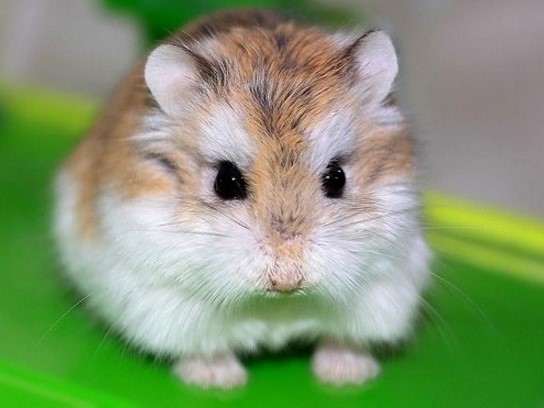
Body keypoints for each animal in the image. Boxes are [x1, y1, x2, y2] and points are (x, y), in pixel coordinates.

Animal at [53, 9, 431, 389]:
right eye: (225, 182)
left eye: (337, 178)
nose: (287, 281)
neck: (275, 305)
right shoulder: (163, 296)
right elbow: (205, 347)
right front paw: (219, 380)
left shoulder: (384, 288)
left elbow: (341, 338)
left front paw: (347, 375)